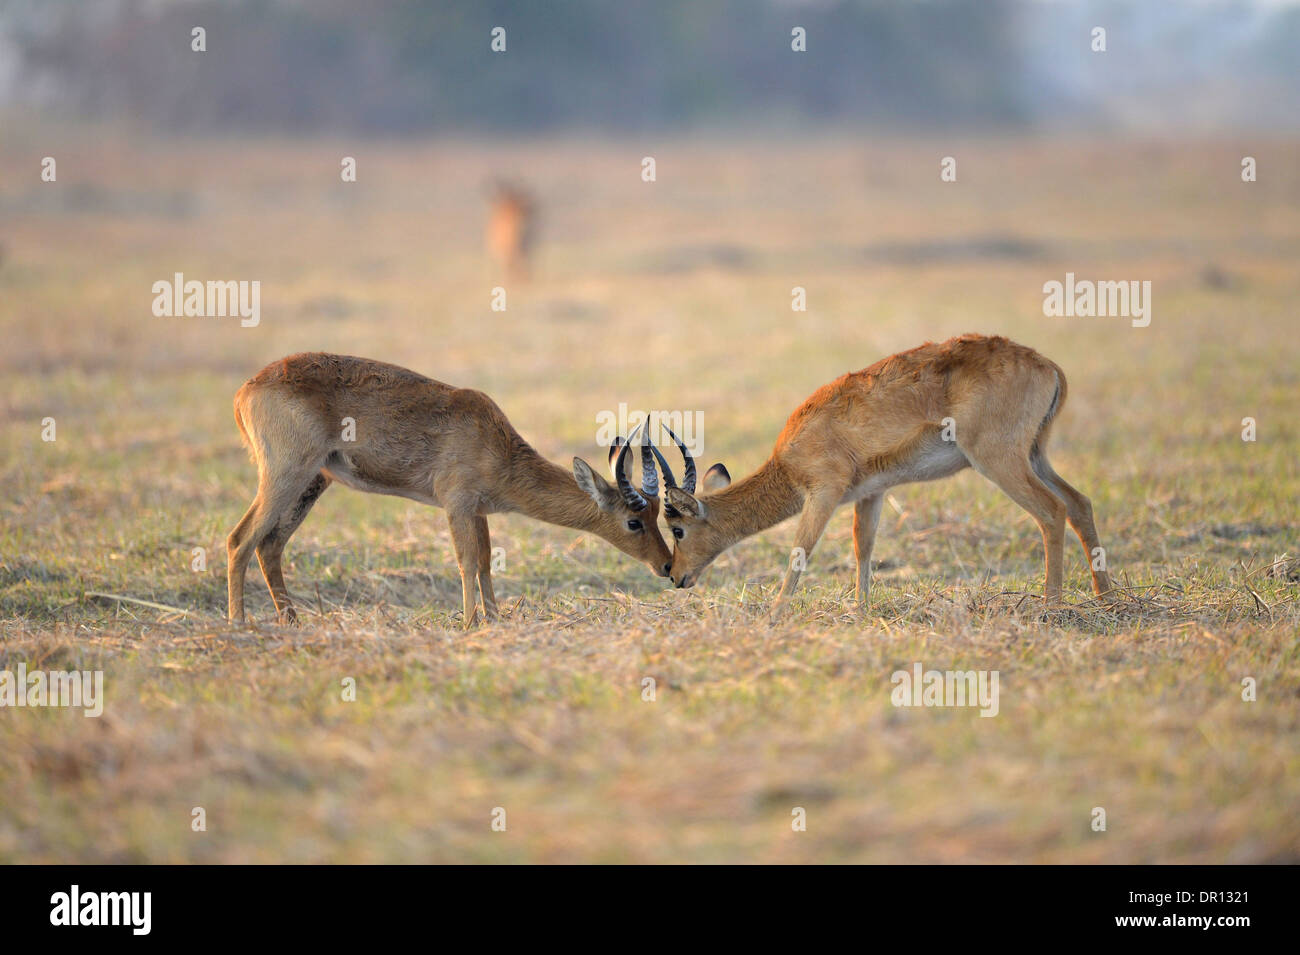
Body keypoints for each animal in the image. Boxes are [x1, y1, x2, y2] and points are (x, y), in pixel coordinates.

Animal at [227, 356, 670, 631]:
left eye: (657, 514)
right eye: (633, 521)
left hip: (312, 483)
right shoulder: (456, 504)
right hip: (286, 476)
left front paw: (495, 620)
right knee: (240, 539)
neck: (495, 441)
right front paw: (470, 623)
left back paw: (291, 622)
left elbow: (487, 562)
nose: (667, 566)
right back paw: (239, 624)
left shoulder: (479, 510)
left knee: (270, 545)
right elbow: (467, 560)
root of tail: (246, 390)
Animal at [660, 335, 1118, 615]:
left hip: (998, 460)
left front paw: (775, 615)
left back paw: (1051, 605)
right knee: (1079, 503)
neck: (788, 461)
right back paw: (1108, 598)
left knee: (1052, 510)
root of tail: (1049, 366)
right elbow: (863, 547)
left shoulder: (824, 492)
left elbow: (800, 549)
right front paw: (860, 610)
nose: (676, 576)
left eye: (677, 528)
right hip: (1035, 454)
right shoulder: (872, 492)